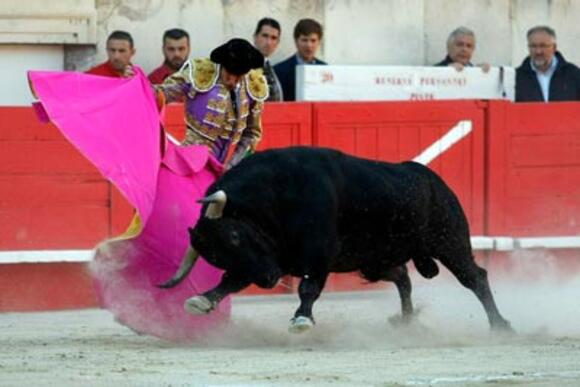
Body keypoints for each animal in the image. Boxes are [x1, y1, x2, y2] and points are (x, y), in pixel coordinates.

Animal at [160, 147, 512, 332]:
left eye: (234, 235)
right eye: (215, 256)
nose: (270, 280)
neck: (275, 196)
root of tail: (433, 180)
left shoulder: (316, 255)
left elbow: (309, 287)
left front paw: (302, 318)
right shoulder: (267, 257)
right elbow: (230, 281)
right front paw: (202, 300)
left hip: (449, 241)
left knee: (474, 277)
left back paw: (500, 324)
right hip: (374, 261)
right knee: (402, 276)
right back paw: (406, 320)